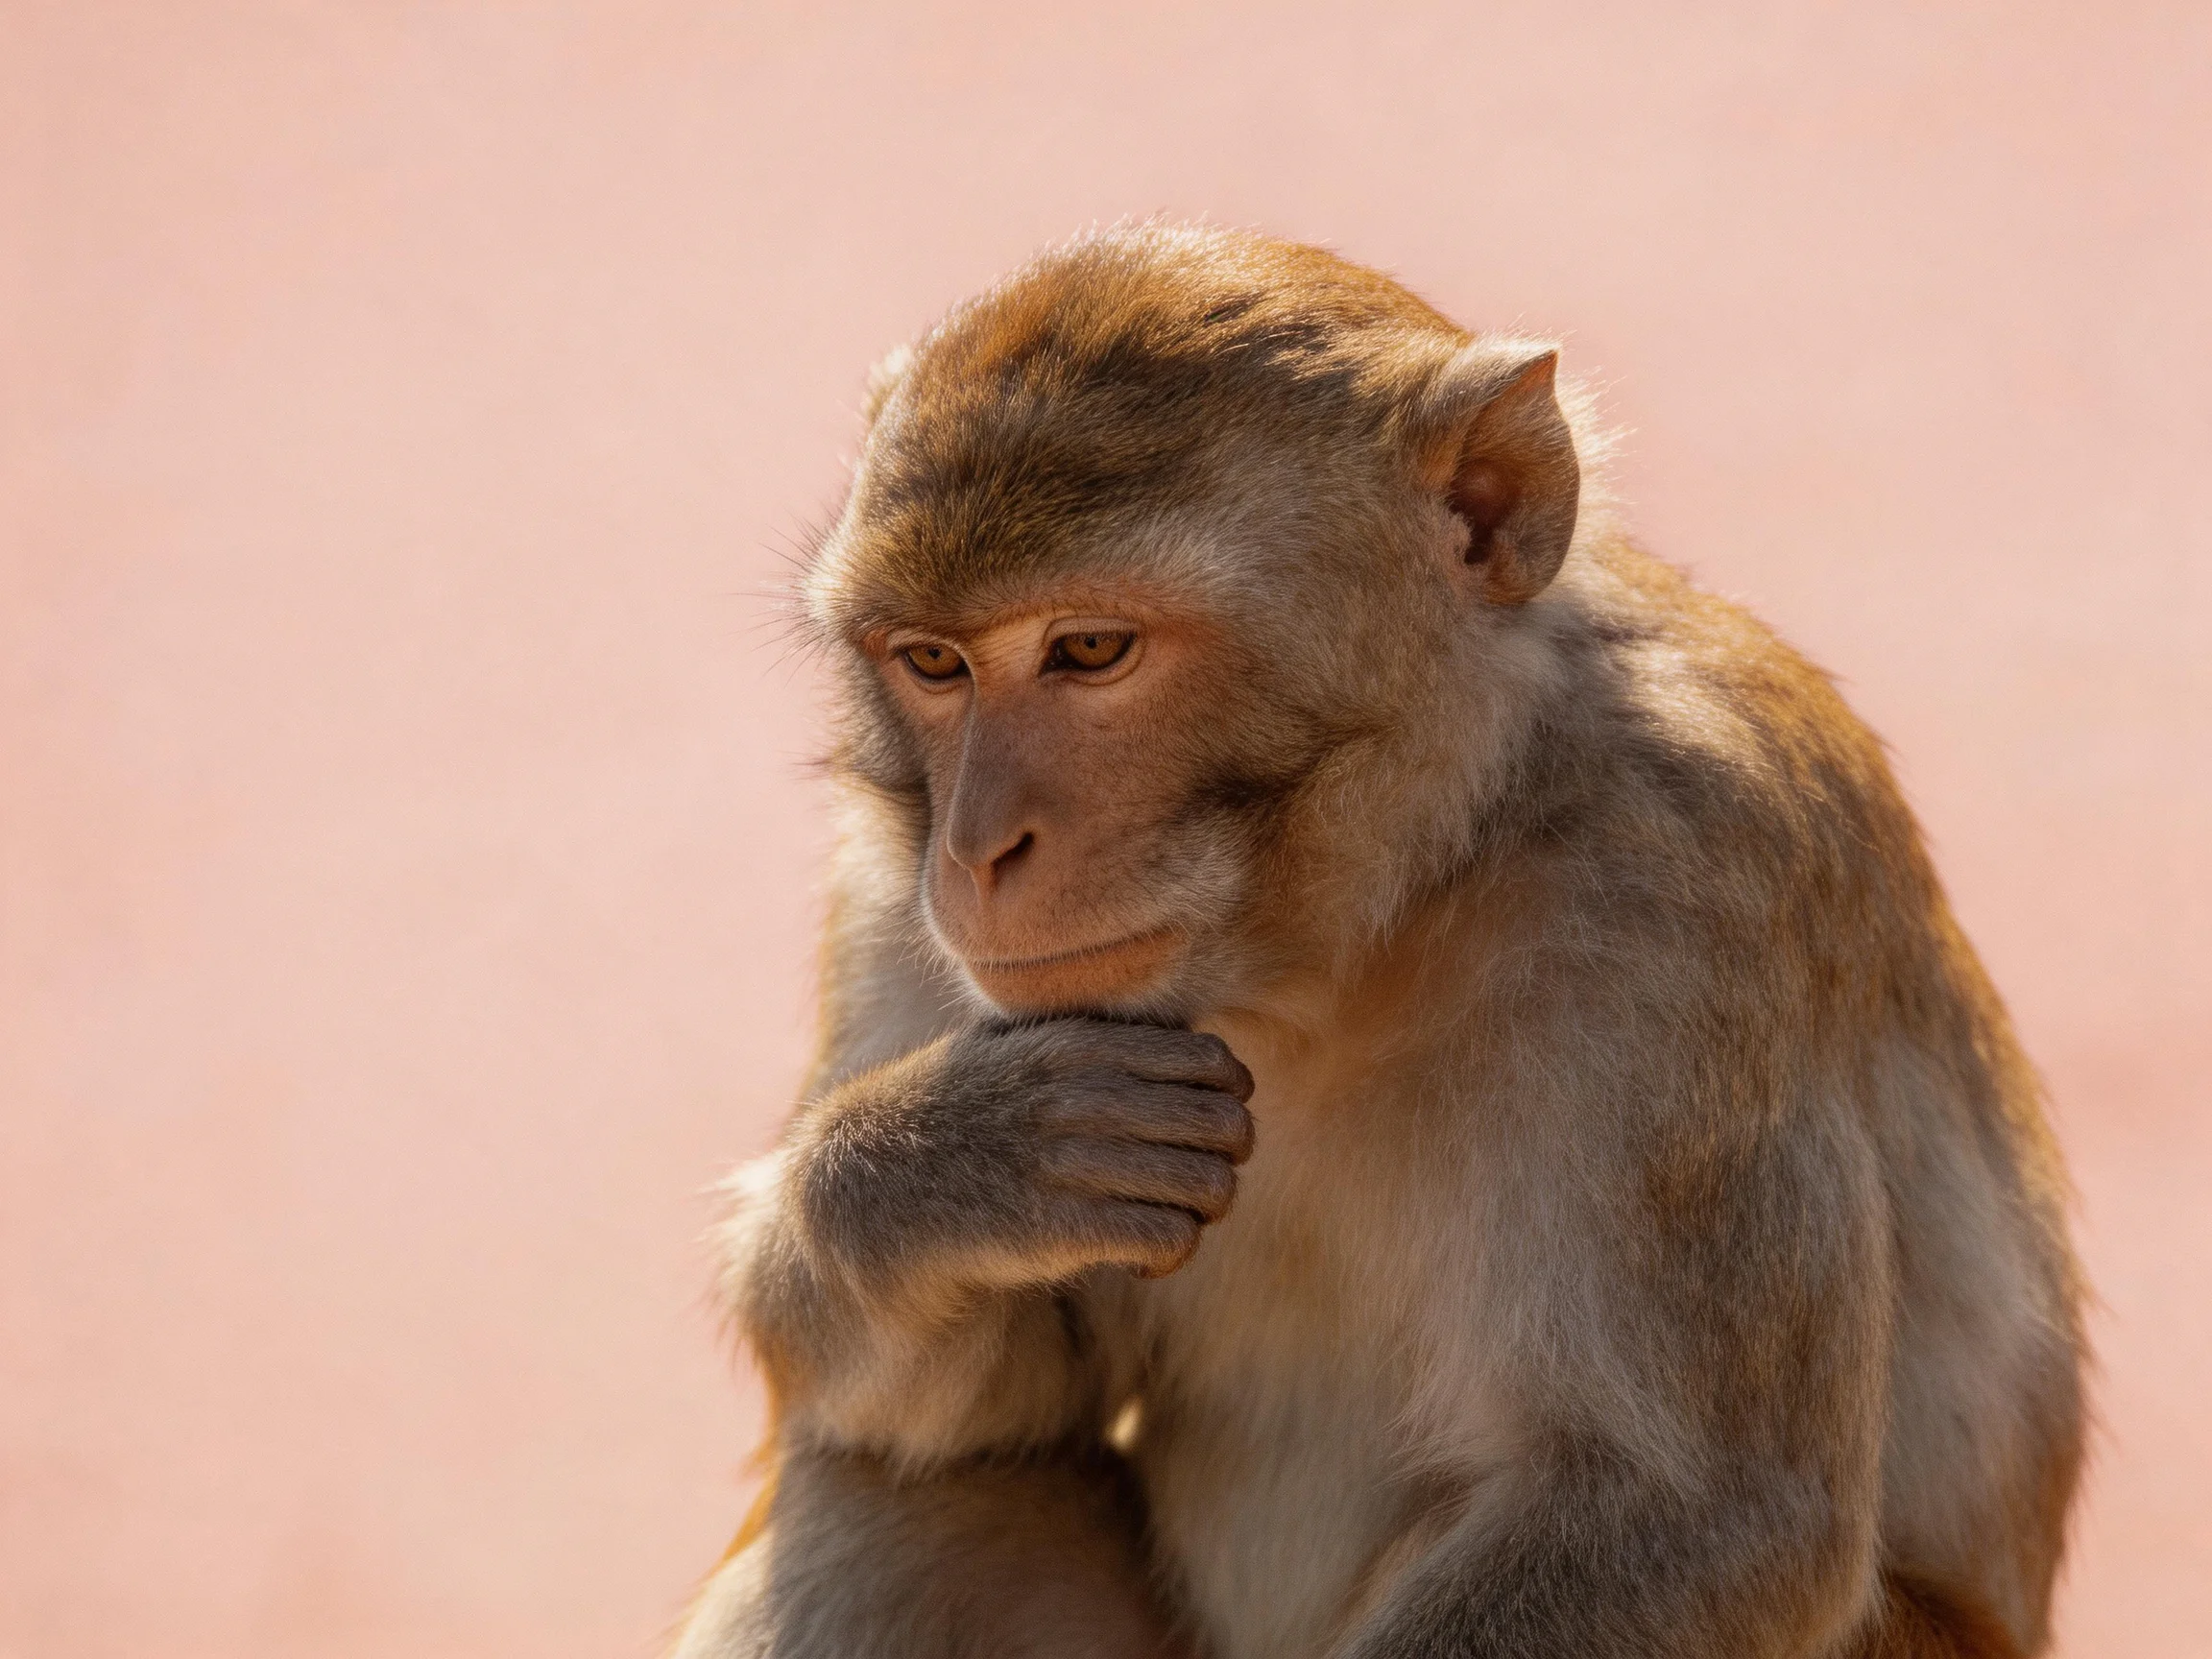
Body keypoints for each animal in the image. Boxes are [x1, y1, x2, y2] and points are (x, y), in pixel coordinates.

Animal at [671, 223, 2086, 1659]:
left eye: (1090, 649)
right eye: (932, 663)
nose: (975, 851)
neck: (1367, 922)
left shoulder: (1687, 881)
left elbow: (1692, 1515)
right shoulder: (887, 891)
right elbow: (992, 1406)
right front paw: (938, 1173)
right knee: (919, 1494)